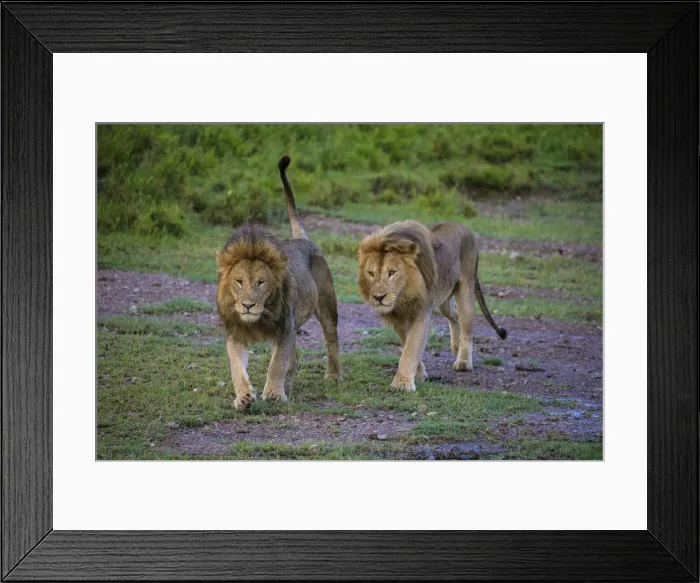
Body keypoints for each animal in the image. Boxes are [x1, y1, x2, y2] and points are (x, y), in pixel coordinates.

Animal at [216, 156, 342, 410]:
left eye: (261, 282)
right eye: (239, 281)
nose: (247, 305)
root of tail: (302, 239)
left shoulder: (284, 329)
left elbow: (277, 364)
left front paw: (273, 394)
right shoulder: (236, 333)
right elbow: (237, 369)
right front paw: (244, 397)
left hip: (326, 307)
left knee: (331, 339)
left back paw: (333, 376)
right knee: (295, 358)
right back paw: (289, 386)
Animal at [357, 220, 506, 392]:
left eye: (392, 272)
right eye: (371, 273)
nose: (378, 297)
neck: (402, 298)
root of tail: (462, 226)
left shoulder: (421, 314)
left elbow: (411, 349)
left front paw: (402, 383)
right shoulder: (399, 320)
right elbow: (407, 345)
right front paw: (419, 375)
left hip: (466, 290)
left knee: (466, 326)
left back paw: (463, 361)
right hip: (443, 302)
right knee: (454, 316)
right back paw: (456, 345)